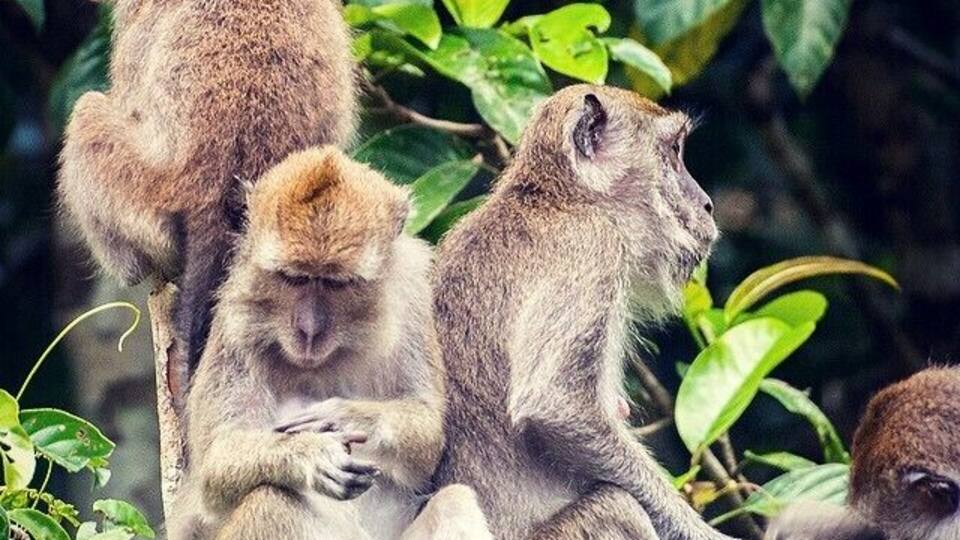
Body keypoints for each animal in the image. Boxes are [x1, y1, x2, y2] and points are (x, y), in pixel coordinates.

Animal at [165, 146, 492, 540]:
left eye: (337, 283)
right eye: (293, 278)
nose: (309, 330)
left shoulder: (411, 293)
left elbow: (427, 432)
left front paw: (350, 417)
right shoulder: (234, 320)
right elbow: (215, 466)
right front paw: (310, 455)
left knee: (453, 501)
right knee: (272, 498)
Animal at [431, 83, 731, 540]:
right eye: (674, 150)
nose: (707, 204)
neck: (560, 200)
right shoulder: (594, 248)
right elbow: (554, 406)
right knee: (619, 505)